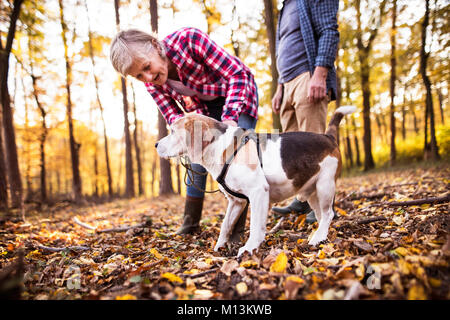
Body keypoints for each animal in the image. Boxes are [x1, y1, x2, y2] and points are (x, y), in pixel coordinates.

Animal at [156, 106, 356, 256]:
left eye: (172, 131)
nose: (156, 144)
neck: (221, 147)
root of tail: (328, 137)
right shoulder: (236, 201)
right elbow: (225, 225)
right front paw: (219, 246)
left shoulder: (259, 192)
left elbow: (255, 227)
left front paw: (250, 247)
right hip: (312, 193)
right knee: (323, 217)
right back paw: (321, 235)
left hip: (324, 187)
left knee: (329, 214)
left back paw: (317, 238)